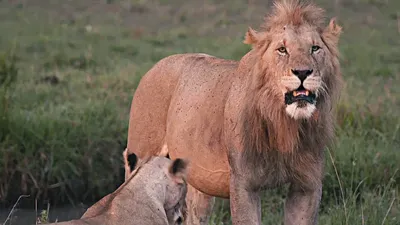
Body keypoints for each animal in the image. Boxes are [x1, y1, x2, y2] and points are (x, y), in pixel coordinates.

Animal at [126, 0, 342, 224]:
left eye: (315, 48)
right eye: (282, 50)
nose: (302, 72)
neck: (284, 124)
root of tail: (155, 66)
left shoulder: (307, 184)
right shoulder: (243, 184)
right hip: (141, 153)